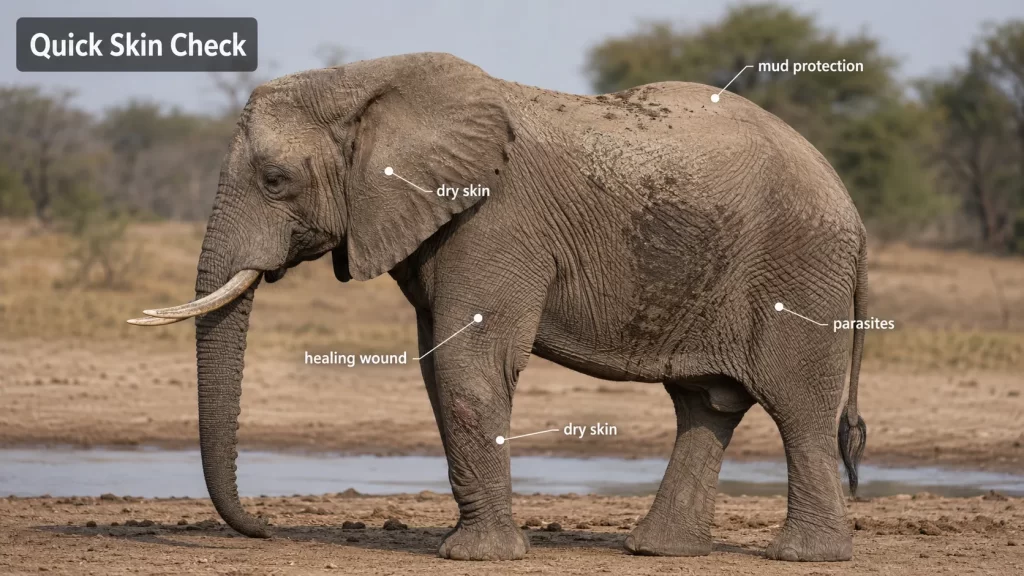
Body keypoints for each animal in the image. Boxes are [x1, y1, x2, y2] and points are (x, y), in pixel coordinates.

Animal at [129, 52, 868, 562]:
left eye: (276, 181)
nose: (263, 529)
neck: (365, 81)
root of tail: (851, 206)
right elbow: (438, 368)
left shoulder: (497, 221)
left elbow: (469, 363)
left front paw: (476, 558)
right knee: (704, 404)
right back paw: (658, 550)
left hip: (800, 271)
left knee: (797, 405)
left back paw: (803, 556)